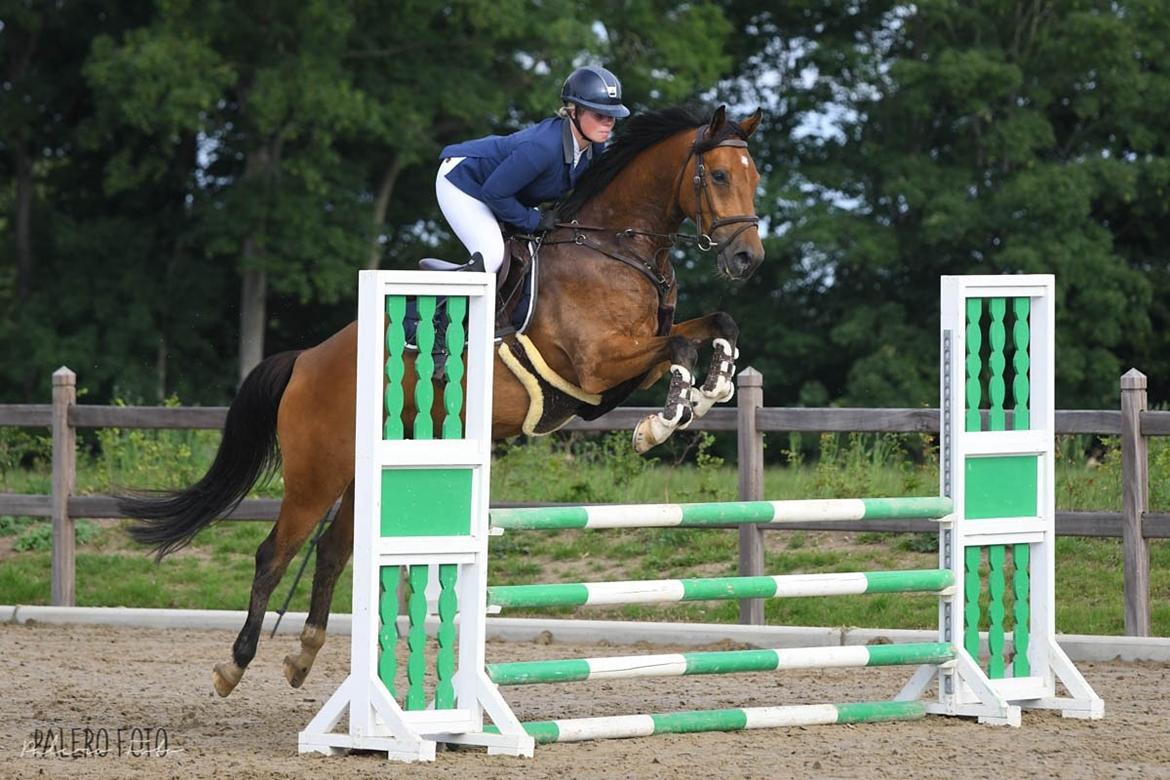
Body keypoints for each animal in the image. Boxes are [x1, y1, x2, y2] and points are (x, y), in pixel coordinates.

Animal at [121, 103, 767, 696]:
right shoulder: (596, 366)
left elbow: (716, 325)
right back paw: (233, 665)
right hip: (316, 472)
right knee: (274, 554)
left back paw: (304, 656)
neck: (615, 249)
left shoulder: (613, 377)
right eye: (716, 175)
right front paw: (664, 419)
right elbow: (680, 344)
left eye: (754, 174)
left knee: (332, 550)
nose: (748, 260)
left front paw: (712, 388)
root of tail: (306, 359)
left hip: (367, 467)